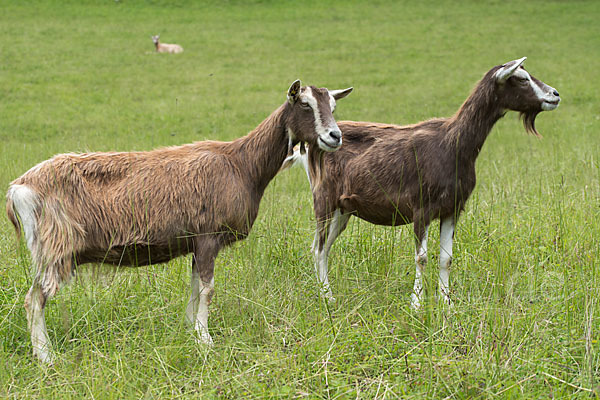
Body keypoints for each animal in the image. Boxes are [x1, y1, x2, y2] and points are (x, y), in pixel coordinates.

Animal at [5, 80, 352, 362]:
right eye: (304, 104)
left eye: (333, 106)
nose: (334, 136)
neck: (242, 164)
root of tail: (19, 188)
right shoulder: (209, 236)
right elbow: (208, 290)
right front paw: (206, 341)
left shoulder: (196, 242)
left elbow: (195, 287)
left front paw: (191, 332)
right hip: (56, 250)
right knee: (34, 299)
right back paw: (46, 357)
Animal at [288, 55, 560, 306]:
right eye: (522, 78)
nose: (555, 95)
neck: (453, 144)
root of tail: (308, 148)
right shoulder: (421, 208)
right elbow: (422, 257)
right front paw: (417, 304)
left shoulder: (453, 209)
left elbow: (446, 258)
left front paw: (447, 303)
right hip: (323, 200)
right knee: (318, 248)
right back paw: (327, 297)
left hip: (343, 209)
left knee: (324, 248)